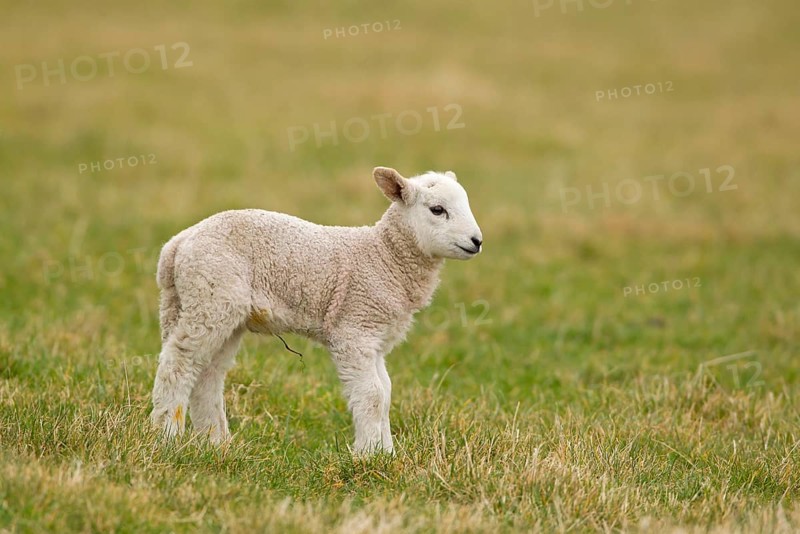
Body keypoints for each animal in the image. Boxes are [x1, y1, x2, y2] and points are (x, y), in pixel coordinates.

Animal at [150, 166, 483, 454]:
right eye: (437, 210)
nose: (477, 241)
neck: (383, 256)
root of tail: (177, 245)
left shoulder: (374, 338)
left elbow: (386, 393)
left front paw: (387, 453)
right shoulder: (354, 328)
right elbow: (372, 395)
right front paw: (369, 455)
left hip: (205, 307)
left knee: (208, 374)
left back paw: (215, 441)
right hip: (210, 297)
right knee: (178, 363)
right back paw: (166, 436)